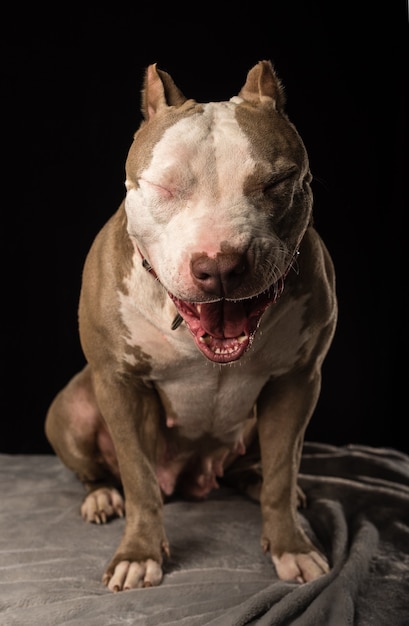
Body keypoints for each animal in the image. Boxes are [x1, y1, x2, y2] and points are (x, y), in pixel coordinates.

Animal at [45, 61, 338, 592]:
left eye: (276, 184)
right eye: (164, 188)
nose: (219, 265)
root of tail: (191, 477)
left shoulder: (298, 381)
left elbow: (283, 471)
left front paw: (291, 545)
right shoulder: (119, 384)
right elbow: (139, 480)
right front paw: (139, 554)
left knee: (260, 467)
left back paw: (263, 483)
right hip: (70, 408)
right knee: (99, 470)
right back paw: (101, 495)